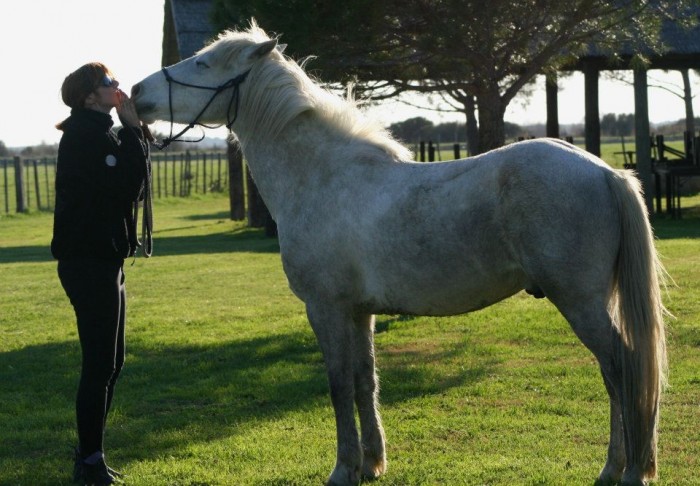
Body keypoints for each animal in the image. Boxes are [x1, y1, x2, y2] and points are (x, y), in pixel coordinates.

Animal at [133, 24, 668, 486]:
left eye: (202, 63)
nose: (136, 92)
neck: (321, 175)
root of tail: (605, 172)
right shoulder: (358, 312)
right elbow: (364, 381)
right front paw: (371, 463)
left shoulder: (325, 308)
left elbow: (338, 385)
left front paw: (343, 470)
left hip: (579, 301)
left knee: (623, 369)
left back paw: (624, 470)